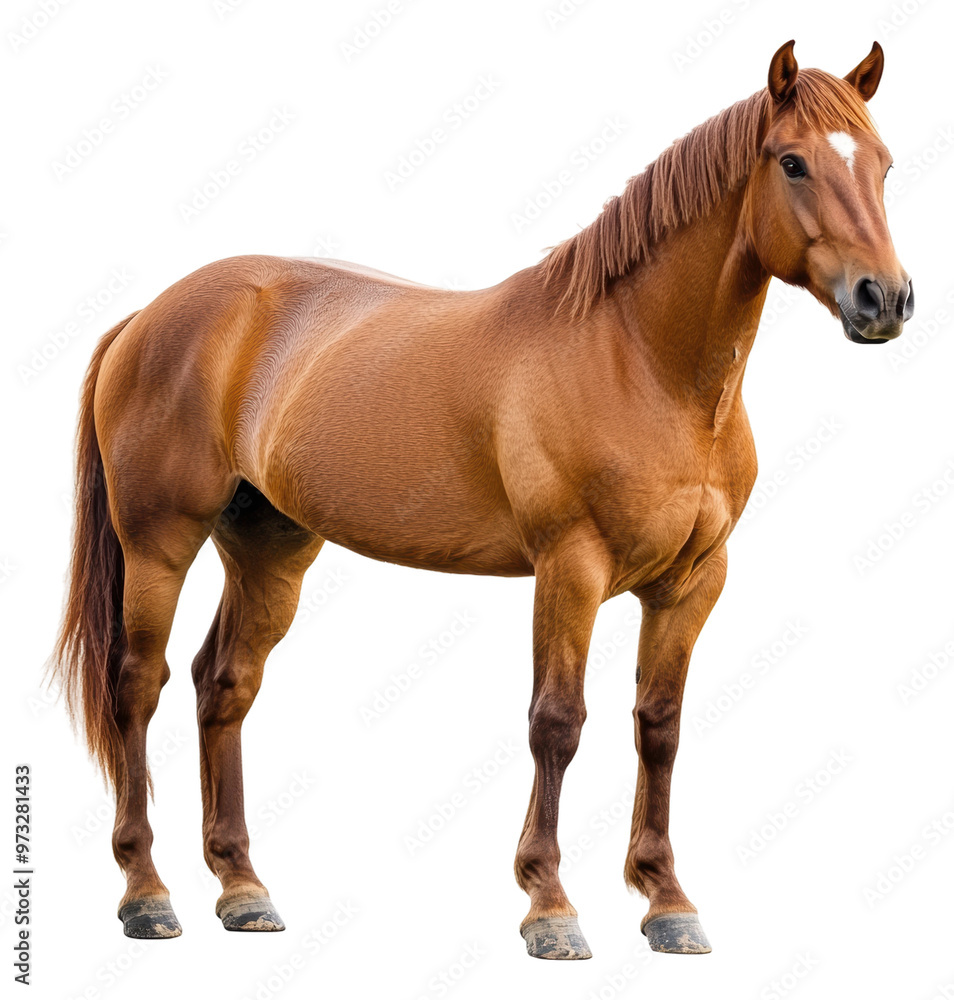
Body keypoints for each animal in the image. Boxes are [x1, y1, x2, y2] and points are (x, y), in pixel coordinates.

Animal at [52, 40, 913, 957]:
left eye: (884, 165)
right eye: (792, 162)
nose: (884, 299)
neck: (641, 361)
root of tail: (150, 314)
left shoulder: (692, 582)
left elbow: (660, 726)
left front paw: (667, 901)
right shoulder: (570, 568)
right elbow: (557, 722)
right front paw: (550, 907)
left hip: (269, 549)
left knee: (224, 684)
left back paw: (243, 889)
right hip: (158, 544)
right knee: (137, 685)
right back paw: (146, 893)